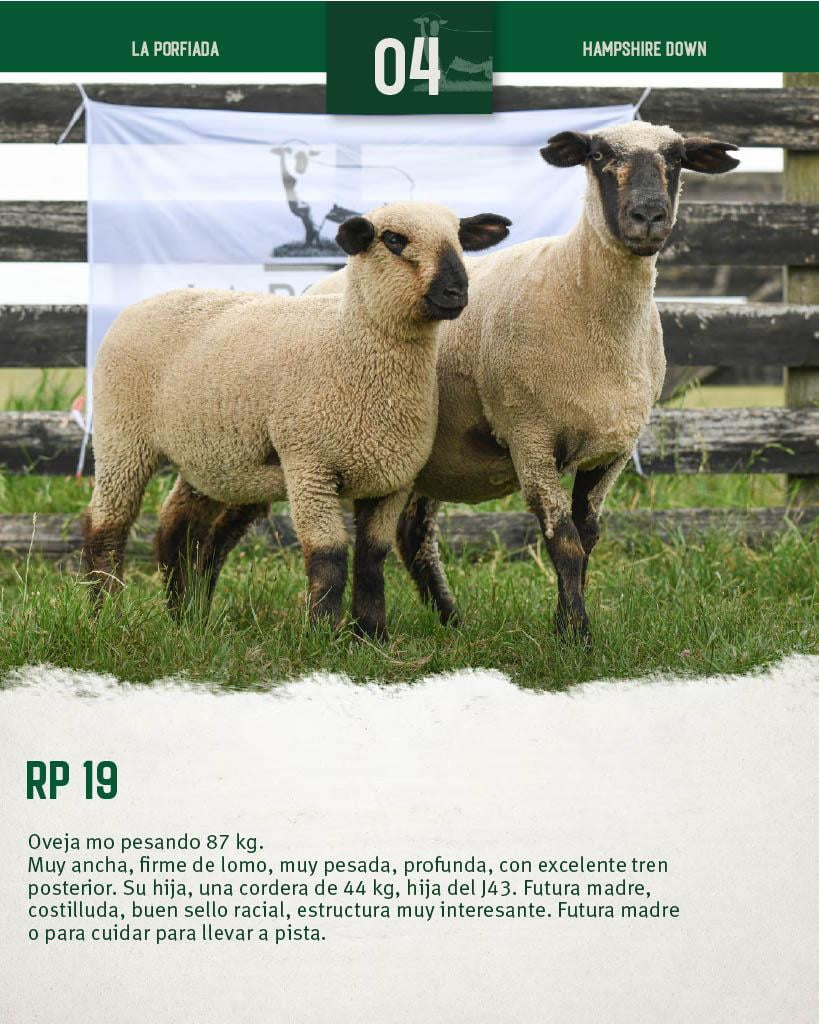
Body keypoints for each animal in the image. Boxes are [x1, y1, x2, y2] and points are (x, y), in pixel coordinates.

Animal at [81, 201, 511, 639]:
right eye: (393, 239)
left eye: (459, 238)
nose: (457, 292)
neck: (346, 344)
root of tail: (140, 304)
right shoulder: (309, 466)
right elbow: (329, 556)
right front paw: (323, 635)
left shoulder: (392, 478)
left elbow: (372, 558)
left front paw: (371, 635)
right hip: (121, 436)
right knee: (106, 525)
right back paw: (105, 614)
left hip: (210, 457)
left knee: (178, 527)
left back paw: (184, 617)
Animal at [309, 122, 739, 640]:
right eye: (597, 155)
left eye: (677, 159)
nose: (649, 215)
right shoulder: (530, 435)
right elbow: (563, 539)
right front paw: (575, 634)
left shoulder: (614, 449)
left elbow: (587, 537)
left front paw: (566, 619)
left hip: (434, 455)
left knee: (413, 535)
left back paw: (453, 622)